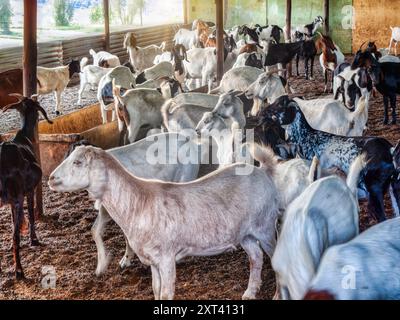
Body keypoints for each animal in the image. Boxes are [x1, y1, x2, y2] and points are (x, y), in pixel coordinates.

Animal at [49, 145, 282, 300]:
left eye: (78, 162)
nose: (51, 178)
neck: (137, 203)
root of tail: (263, 171)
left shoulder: (167, 257)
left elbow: (166, 293)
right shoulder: (153, 260)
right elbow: (156, 290)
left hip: (265, 226)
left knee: (275, 259)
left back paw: (277, 294)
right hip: (246, 233)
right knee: (256, 257)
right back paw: (250, 292)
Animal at [260, 95, 400, 222]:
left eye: (280, 104)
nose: (262, 112)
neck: (308, 138)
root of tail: (390, 150)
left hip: (374, 191)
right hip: (394, 188)